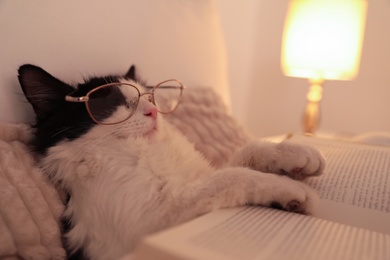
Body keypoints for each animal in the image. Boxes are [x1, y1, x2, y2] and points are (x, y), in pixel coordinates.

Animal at [16, 63, 324, 260]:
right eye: (114, 103)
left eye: (149, 97)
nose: (152, 111)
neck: (146, 152)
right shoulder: (153, 219)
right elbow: (232, 176)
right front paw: (293, 190)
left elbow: (245, 153)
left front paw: (297, 155)